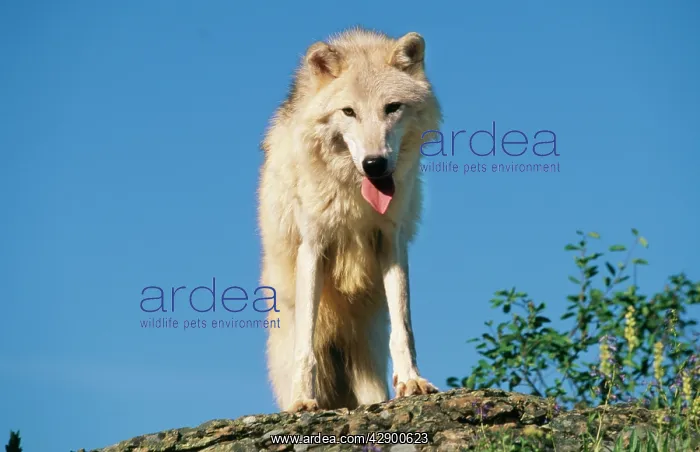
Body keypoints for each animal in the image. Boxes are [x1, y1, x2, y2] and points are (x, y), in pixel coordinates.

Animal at [258, 27, 442, 412]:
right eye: (349, 112)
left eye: (392, 108)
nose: (375, 164)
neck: (354, 193)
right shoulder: (313, 247)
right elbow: (306, 346)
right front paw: (304, 400)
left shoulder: (391, 241)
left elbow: (404, 327)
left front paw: (412, 381)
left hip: (366, 351)